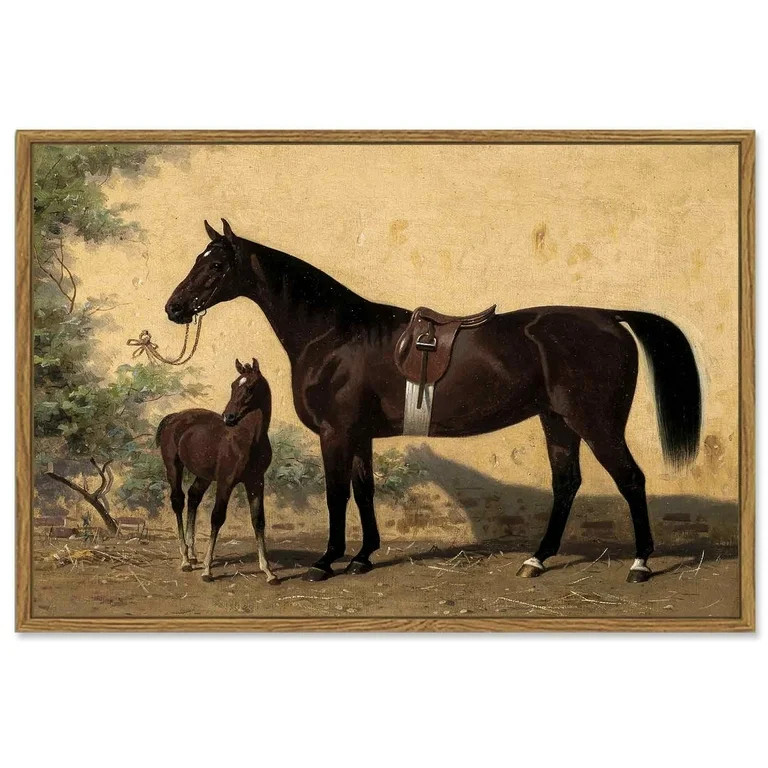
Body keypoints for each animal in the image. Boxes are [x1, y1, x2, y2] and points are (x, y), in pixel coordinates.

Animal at [155, 357, 279, 584]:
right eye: (233, 385)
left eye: (249, 387)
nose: (228, 417)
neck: (248, 440)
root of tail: (174, 417)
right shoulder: (226, 481)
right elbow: (217, 517)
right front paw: (207, 570)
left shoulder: (256, 481)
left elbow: (258, 520)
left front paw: (268, 571)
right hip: (173, 467)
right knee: (178, 501)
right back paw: (185, 559)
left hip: (204, 476)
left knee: (194, 496)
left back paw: (193, 554)